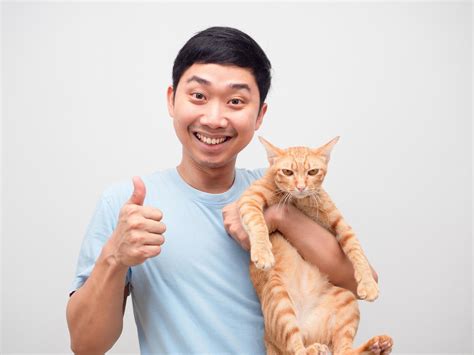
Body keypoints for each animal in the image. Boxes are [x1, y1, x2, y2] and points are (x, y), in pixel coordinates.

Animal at [237, 138, 392, 355]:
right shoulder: (250, 199)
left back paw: (376, 345)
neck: (298, 201)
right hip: (279, 298)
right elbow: (258, 223)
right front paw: (263, 252)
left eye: (312, 172)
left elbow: (357, 251)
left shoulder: (341, 225)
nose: (301, 187)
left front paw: (369, 284)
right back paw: (314, 348)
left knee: (343, 351)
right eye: (287, 172)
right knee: (295, 348)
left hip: (347, 297)